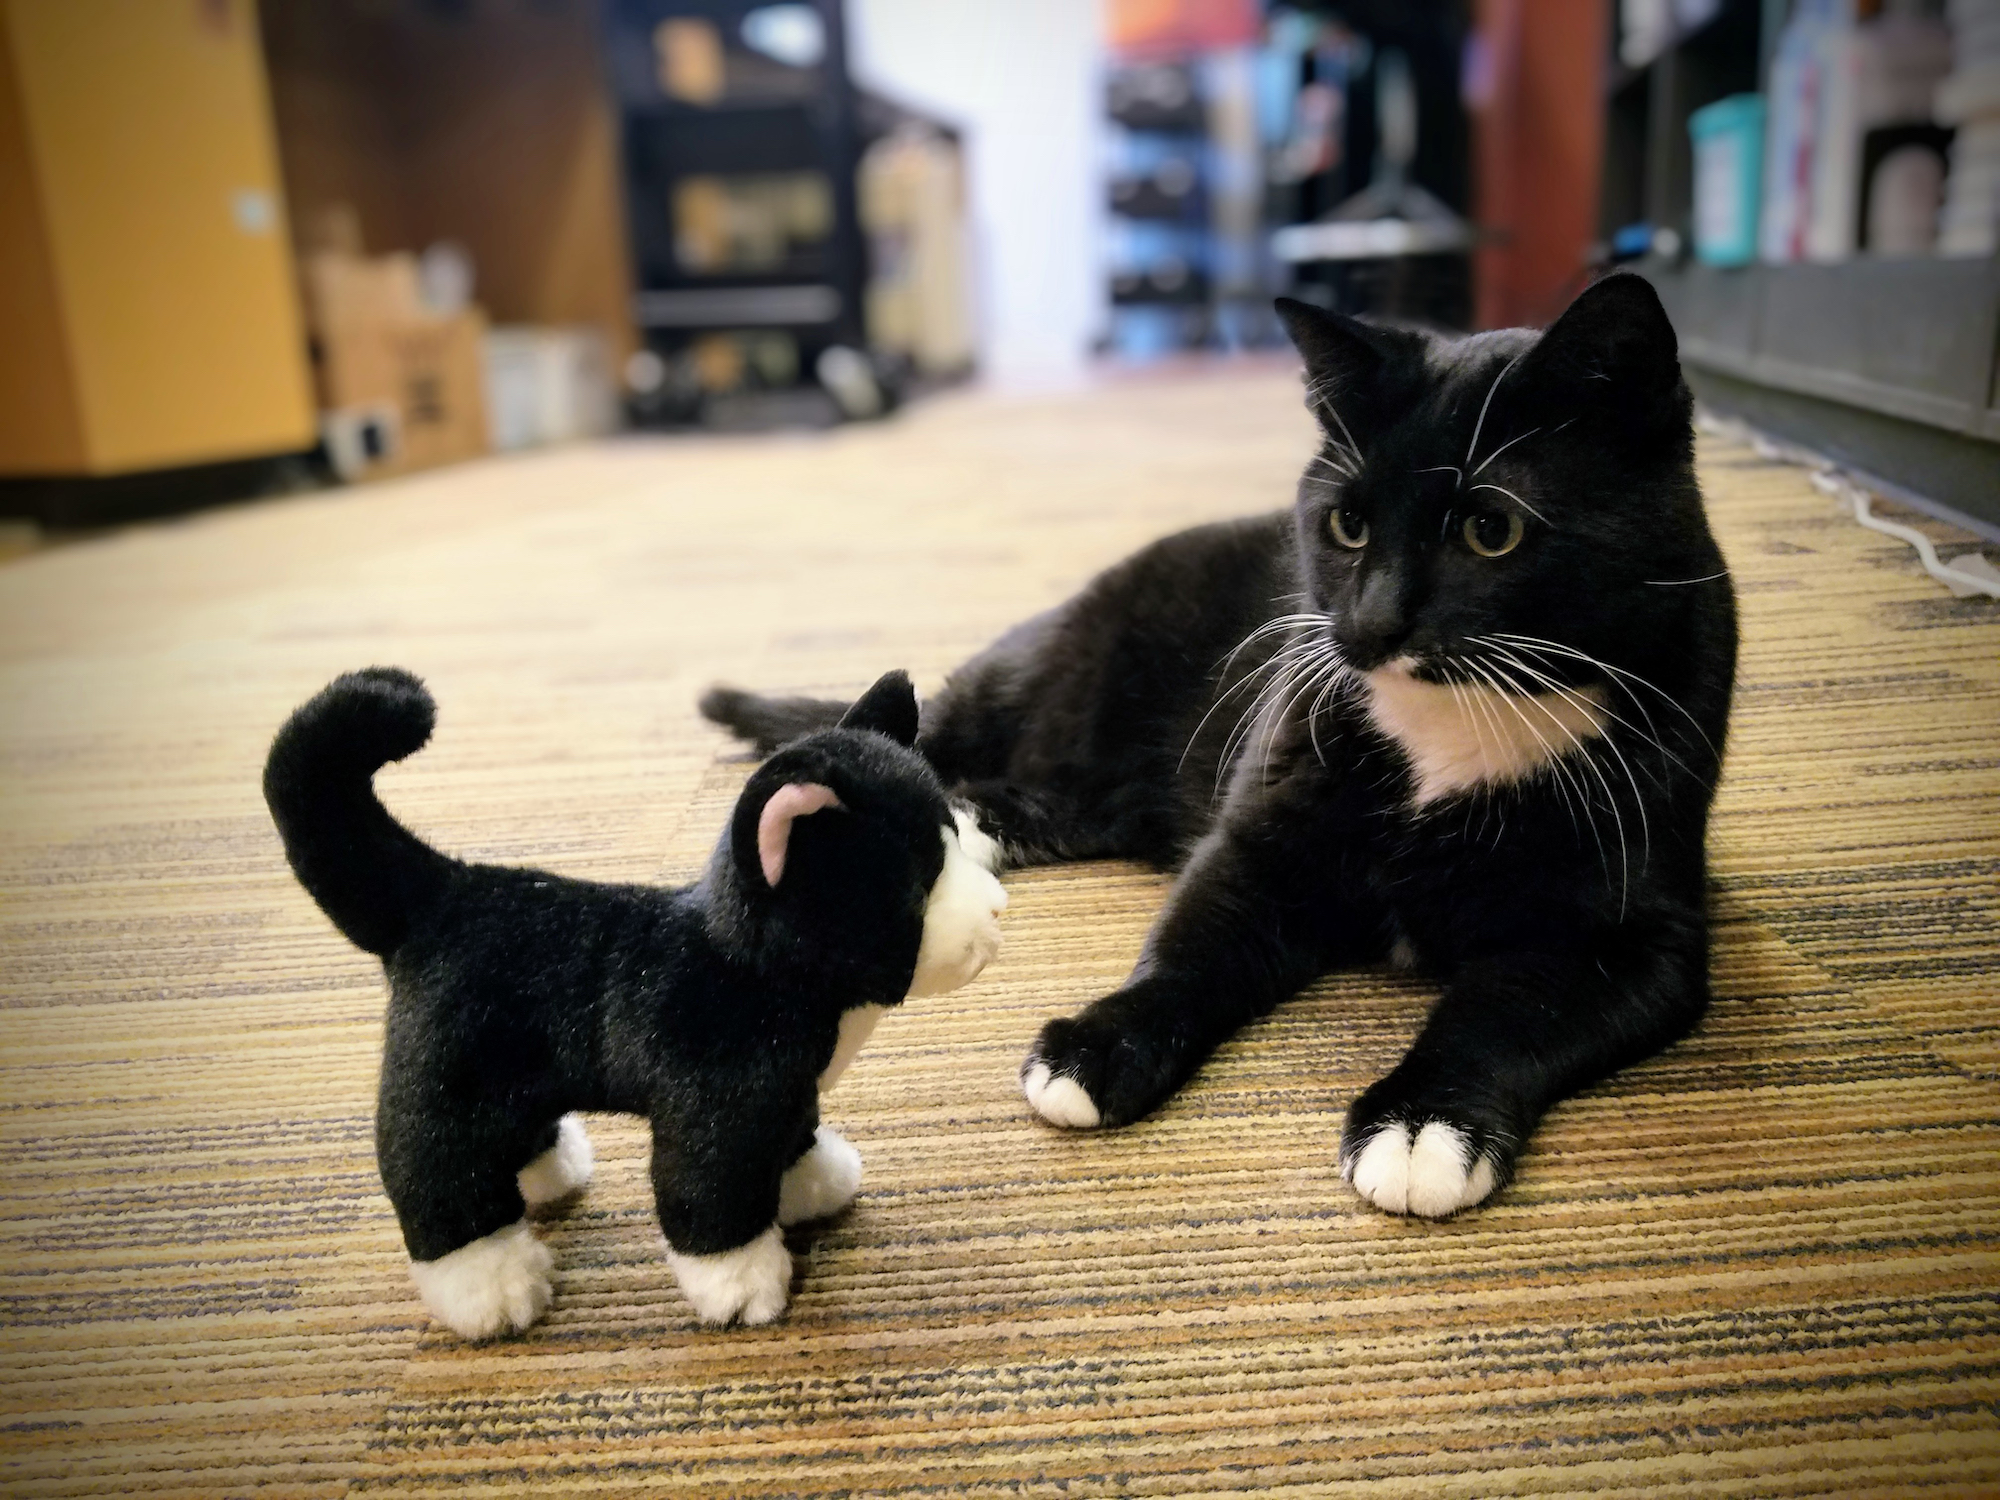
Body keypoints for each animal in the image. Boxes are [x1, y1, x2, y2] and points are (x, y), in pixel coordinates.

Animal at [704, 280, 1736, 1224]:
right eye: (1347, 523)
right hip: (1049, 670)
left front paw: (1423, 1124)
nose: (1367, 628)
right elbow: (1195, 936)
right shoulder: (1265, 823)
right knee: (945, 731)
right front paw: (1098, 1045)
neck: (1453, 727)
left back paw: (970, 820)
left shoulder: (1641, 936)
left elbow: (1509, 1010)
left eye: (1493, 529)